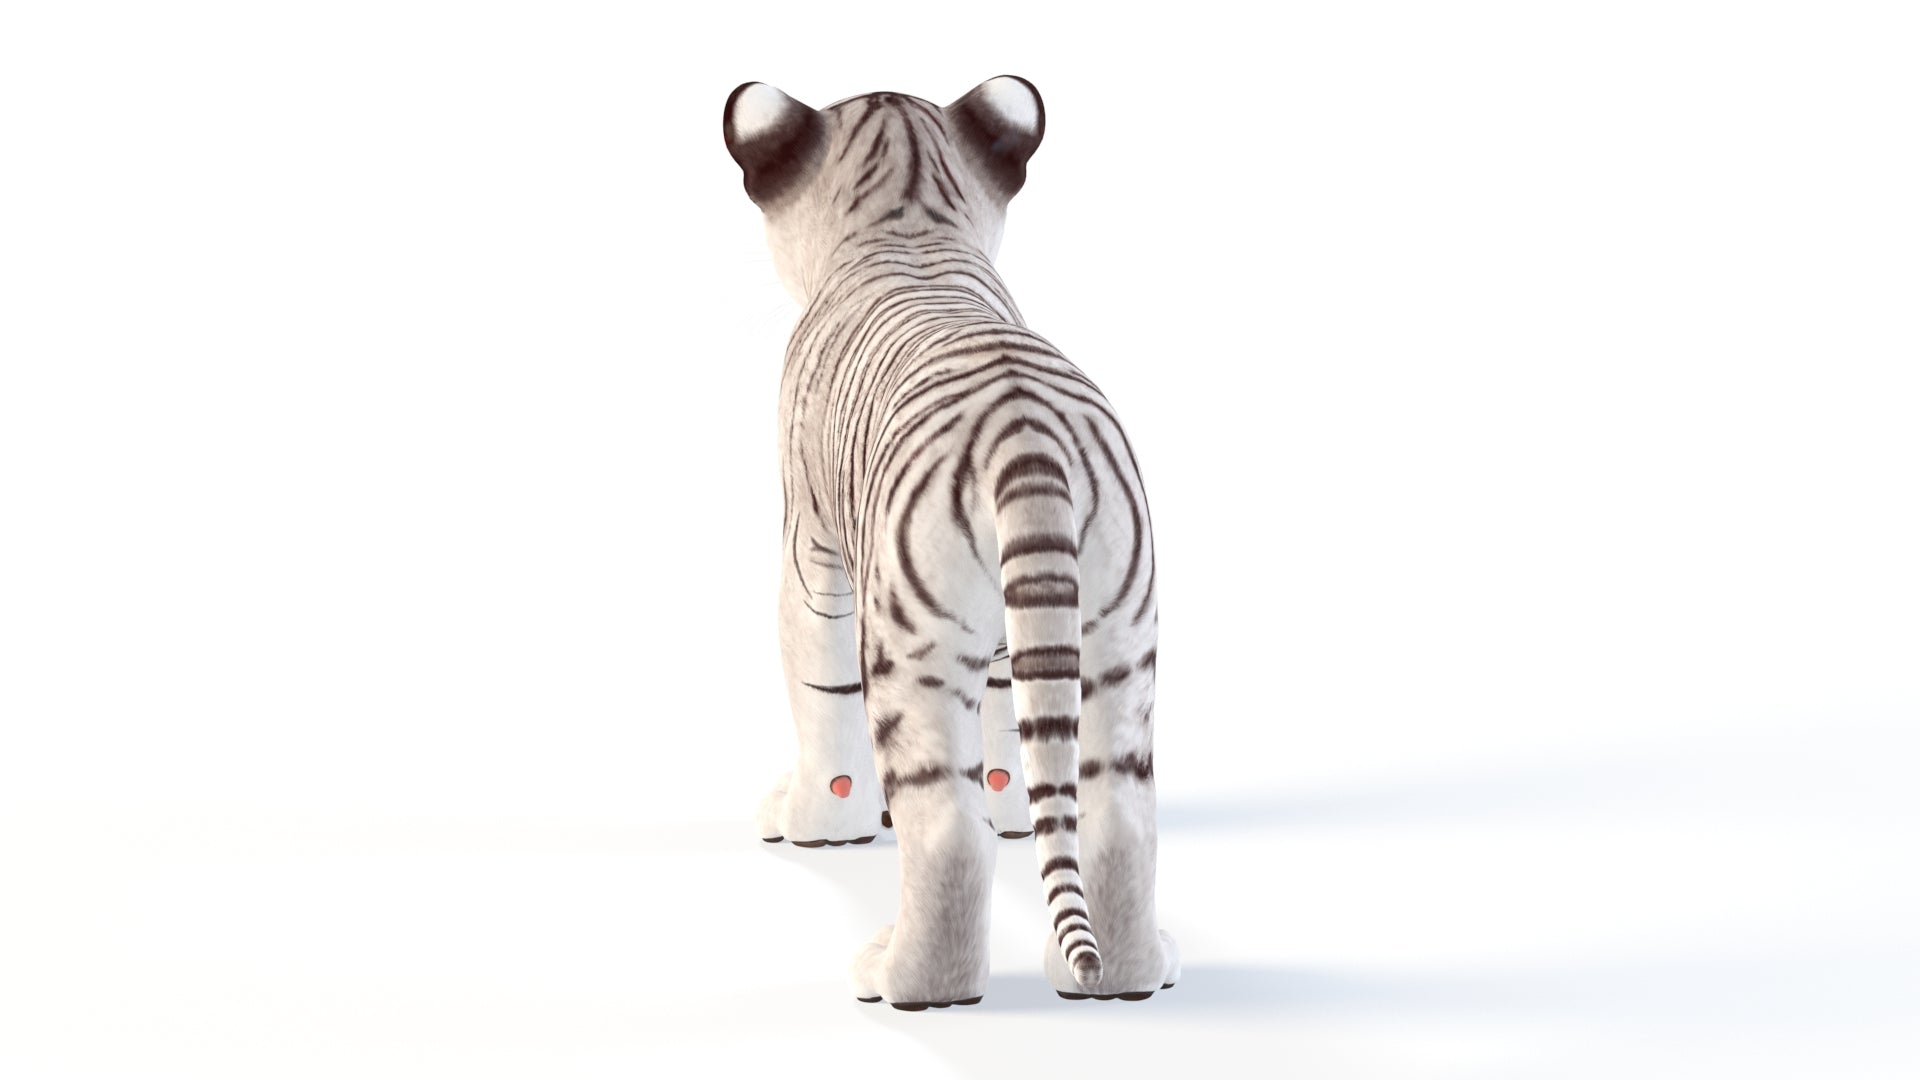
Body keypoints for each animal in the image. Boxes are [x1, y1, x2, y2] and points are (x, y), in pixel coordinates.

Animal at [722, 75, 1178, 1010]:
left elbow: (819, 690)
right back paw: (1120, 977)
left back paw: (898, 977)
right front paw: (1015, 806)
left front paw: (817, 821)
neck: (910, 222)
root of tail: (1026, 430)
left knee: (944, 834)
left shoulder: (811, 547)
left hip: (914, 647)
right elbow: (1015, 728)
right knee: (1119, 816)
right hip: (1119, 636)